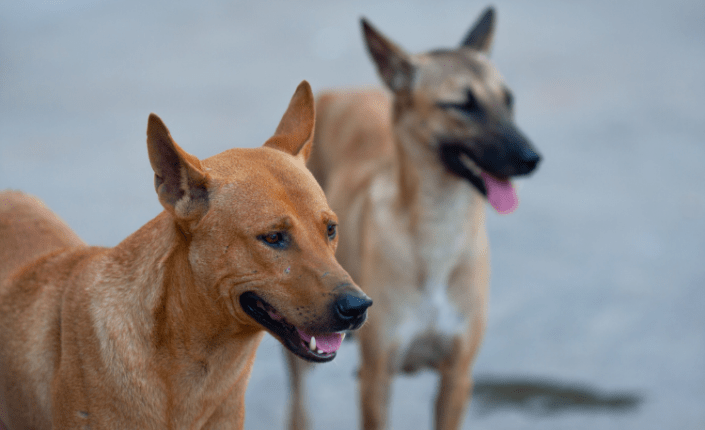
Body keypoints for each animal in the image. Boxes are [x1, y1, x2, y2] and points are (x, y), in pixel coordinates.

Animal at [286, 7, 540, 430]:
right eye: (462, 105)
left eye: (509, 101)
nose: (532, 158)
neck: (439, 227)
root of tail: (342, 91)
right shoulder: (377, 380)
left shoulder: (457, 378)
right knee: (298, 402)